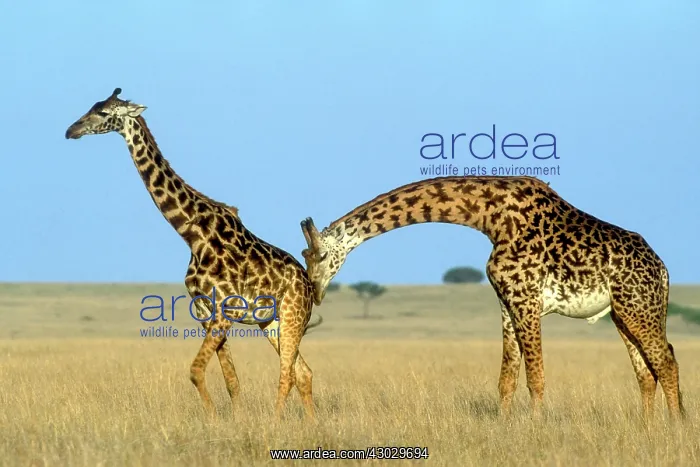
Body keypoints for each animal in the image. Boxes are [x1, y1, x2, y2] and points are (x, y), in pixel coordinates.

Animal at [65, 88, 322, 420]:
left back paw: (276, 422)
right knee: (303, 372)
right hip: (271, 322)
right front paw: (235, 420)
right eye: (93, 106)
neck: (192, 235)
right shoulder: (204, 312)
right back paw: (311, 424)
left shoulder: (227, 310)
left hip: (292, 314)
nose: (71, 130)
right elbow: (231, 380)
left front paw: (214, 419)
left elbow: (196, 371)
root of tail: (309, 285)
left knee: (288, 373)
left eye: (104, 112)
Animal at [299, 175, 685, 421]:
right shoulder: (506, 301)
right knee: (646, 371)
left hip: (638, 307)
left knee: (665, 361)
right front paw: (504, 427)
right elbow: (507, 378)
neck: (491, 218)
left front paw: (536, 428)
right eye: (305, 256)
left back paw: (674, 426)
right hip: (622, 313)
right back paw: (648, 428)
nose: (315, 292)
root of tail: (663, 270)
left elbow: (535, 376)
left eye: (318, 255)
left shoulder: (526, 299)